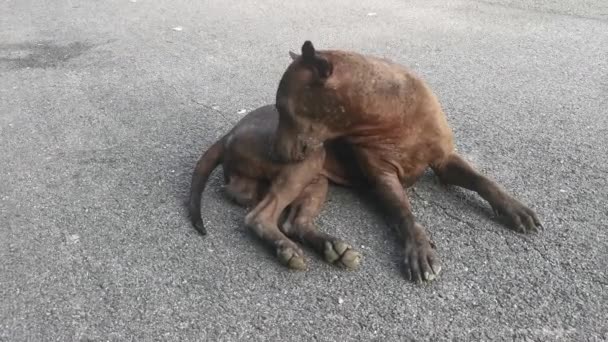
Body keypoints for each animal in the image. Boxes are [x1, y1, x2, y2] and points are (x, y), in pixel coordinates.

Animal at [188, 104, 364, 270]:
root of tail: (230, 133)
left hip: (317, 180)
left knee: (294, 223)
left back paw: (332, 247)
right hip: (306, 153)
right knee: (259, 217)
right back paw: (287, 248)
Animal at [270, 41, 540, 284]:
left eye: (282, 107)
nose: (276, 153)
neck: (388, 114)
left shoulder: (444, 161)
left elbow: (483, 181)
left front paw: (514, 208)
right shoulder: (383, 177)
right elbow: (405, 213)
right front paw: (418, 249)